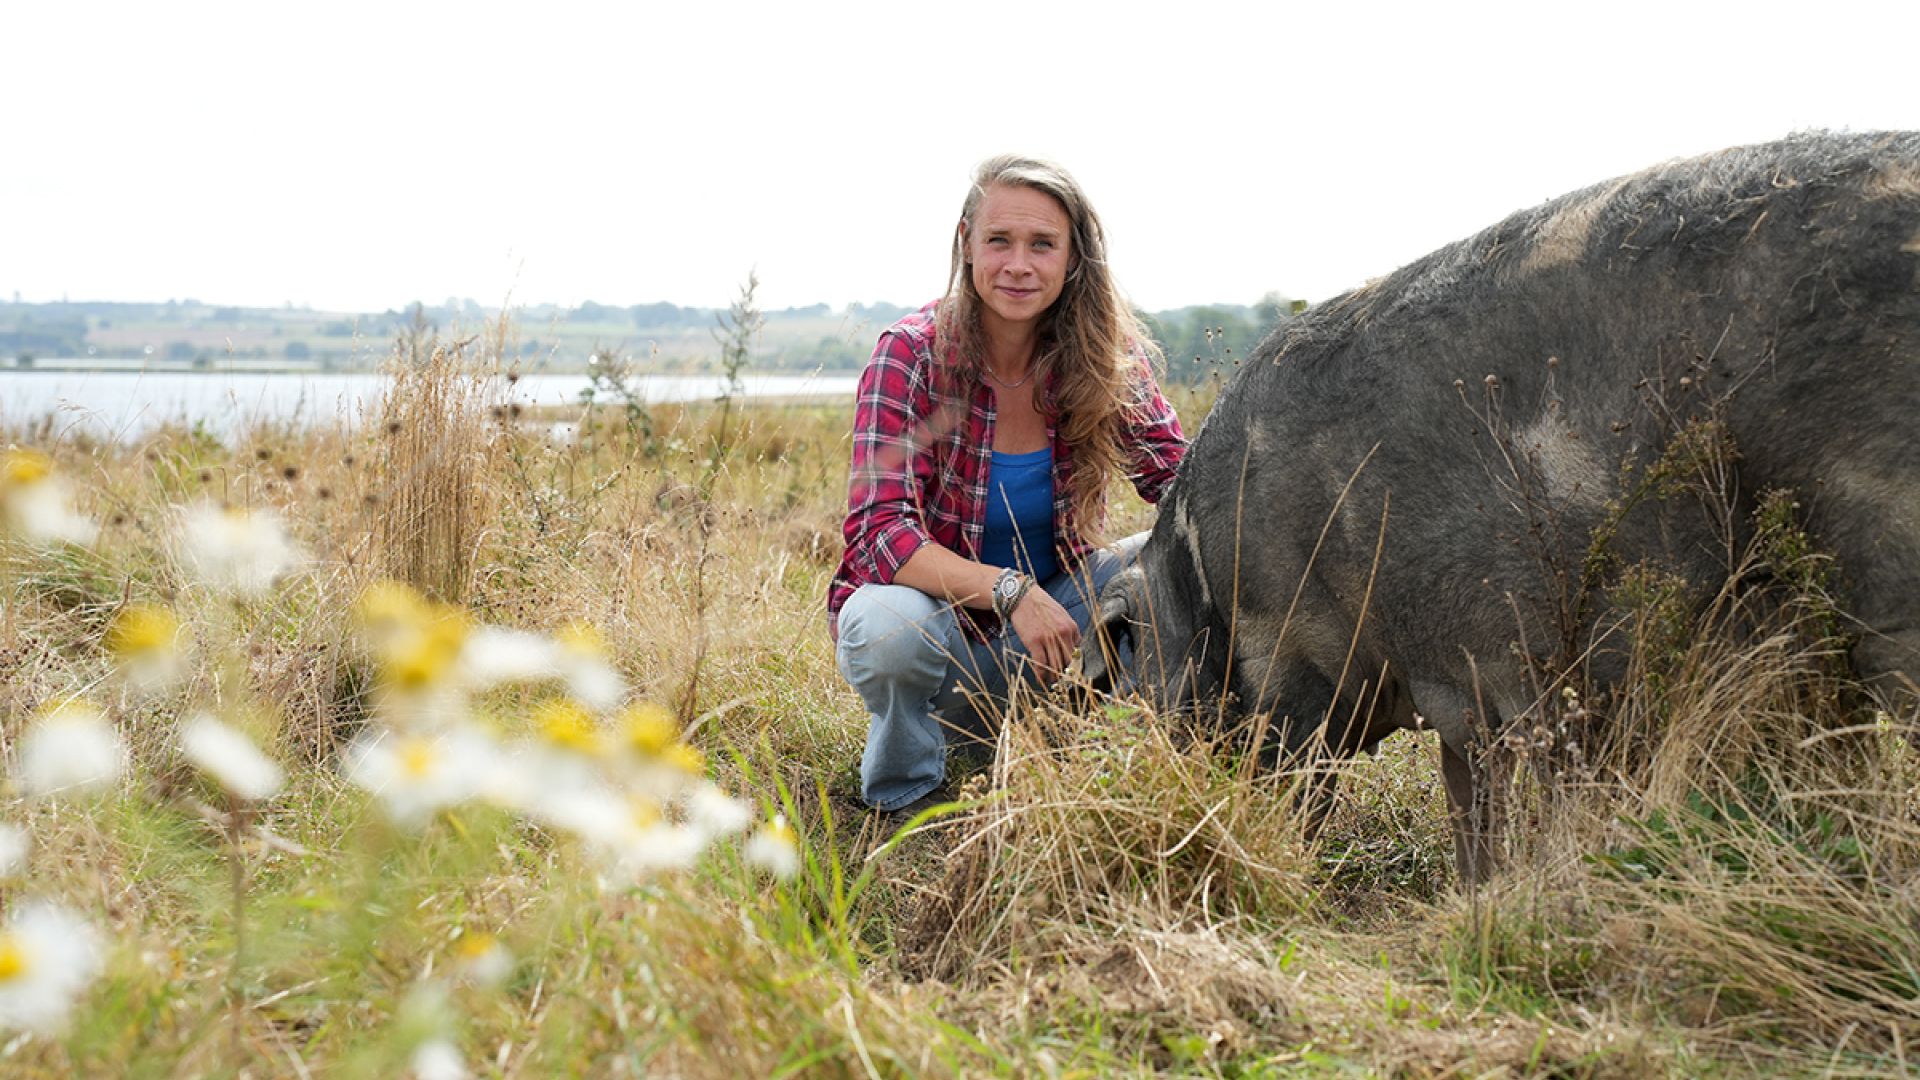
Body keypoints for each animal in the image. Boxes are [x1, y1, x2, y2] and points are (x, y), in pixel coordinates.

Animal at [1098, 130, 1920, 880]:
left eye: (1134, 656)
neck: (1201, 573)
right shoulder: (1460, 684)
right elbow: (1469, 789)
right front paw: (1475, 891)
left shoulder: (1289, 661)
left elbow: (1303, 787)